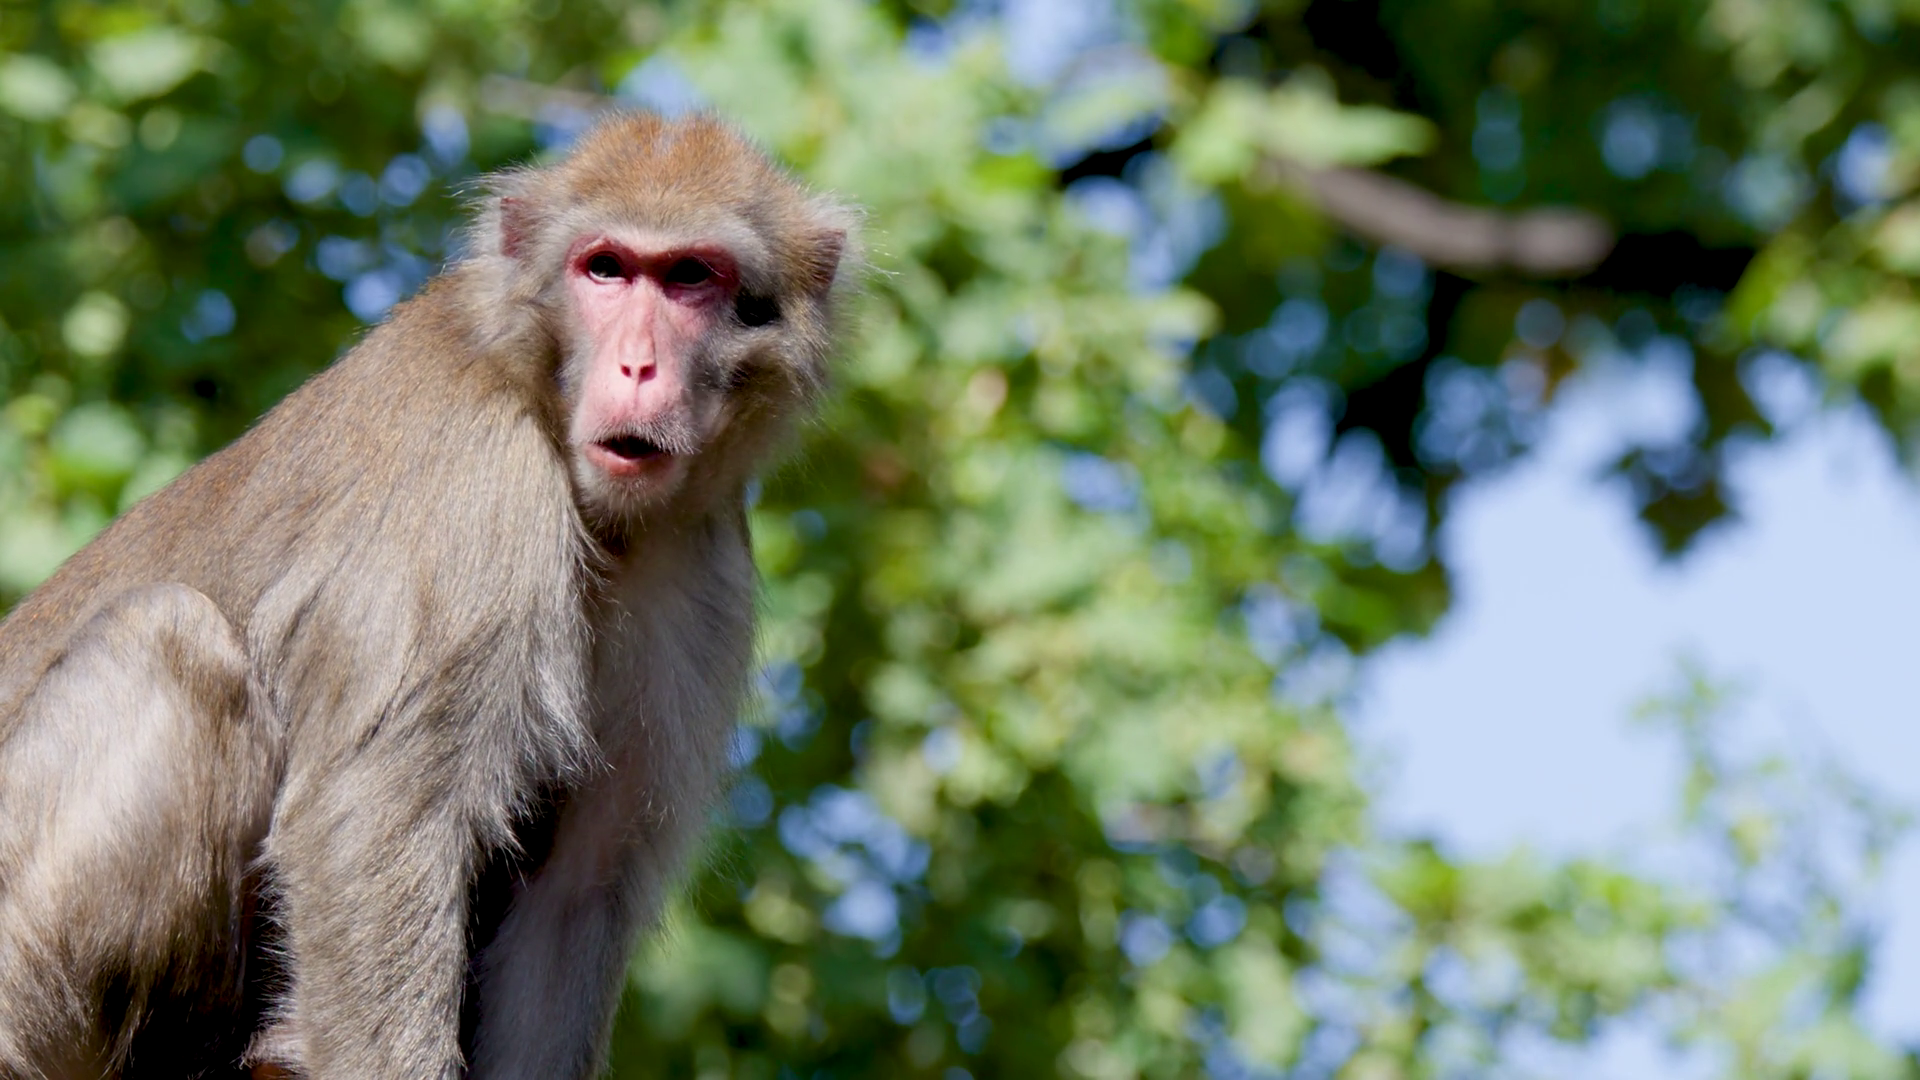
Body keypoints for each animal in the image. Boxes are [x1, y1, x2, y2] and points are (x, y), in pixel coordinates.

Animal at [0, 110, 855, 1078]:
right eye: (606, 268)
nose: (639, 367)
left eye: (691, 278)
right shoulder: (473, 477)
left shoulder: (698, 568)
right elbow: (373, 822)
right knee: (165, 643)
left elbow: (577, 894)